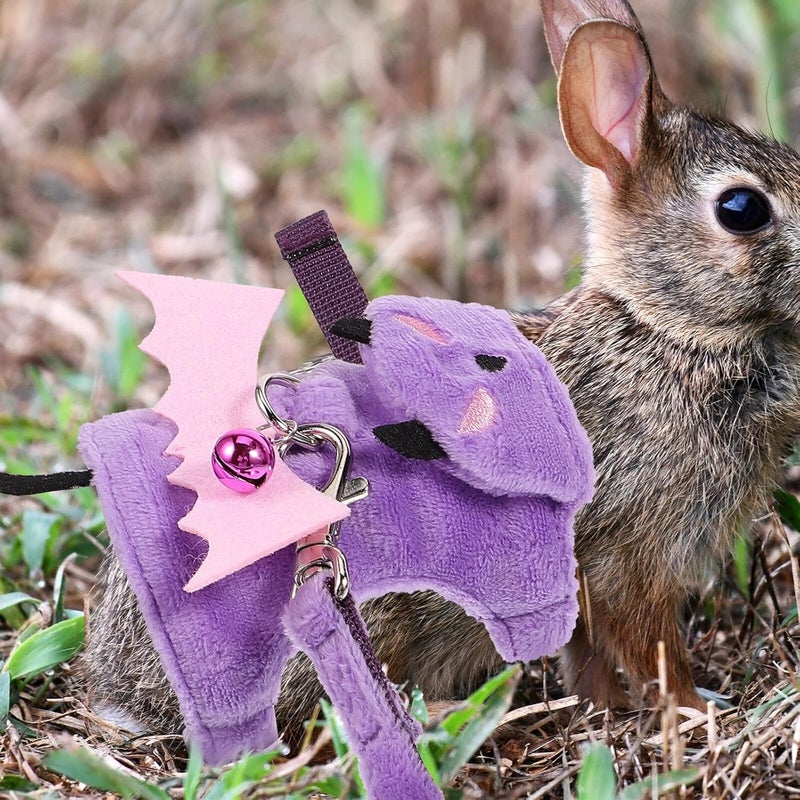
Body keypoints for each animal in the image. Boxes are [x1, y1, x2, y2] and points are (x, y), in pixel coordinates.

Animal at [84, 0, 800, 745]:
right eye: (742, 209)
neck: (663, 329)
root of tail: (128, 692)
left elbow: (590, 657)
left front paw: (607, 711)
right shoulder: (631, 553)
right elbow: (653, 648)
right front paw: (696, 713)